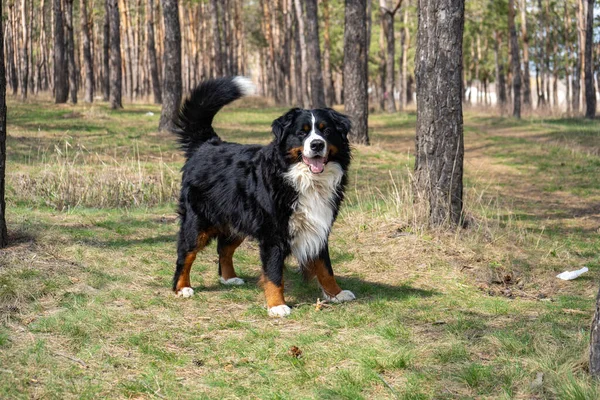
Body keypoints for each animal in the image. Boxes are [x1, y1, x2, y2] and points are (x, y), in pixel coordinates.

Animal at [171, 76, 354, 318]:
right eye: (302, 133)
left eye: (326, 131)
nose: (316, 144)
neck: (302, 179)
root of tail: (207, 144)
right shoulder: (273, 234)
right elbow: (274, 273)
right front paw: (277, 305)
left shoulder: (319, 227)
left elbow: (325, 267)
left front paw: (336, 293)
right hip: (198, 222)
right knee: (186, 253)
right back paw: (182, 287)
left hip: (237, 220)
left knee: (224, 249)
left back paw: (229, 278)